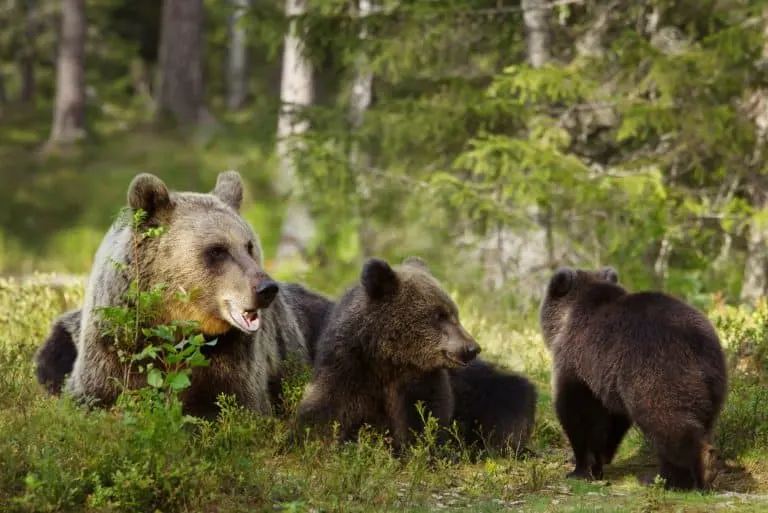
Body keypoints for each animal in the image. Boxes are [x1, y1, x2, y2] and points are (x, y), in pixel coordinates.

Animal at [57, 170, 310, 418]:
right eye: (217, 250)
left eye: (249, 246)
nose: (266, 288)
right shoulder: (113, 346)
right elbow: (96, 396)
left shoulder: (232, 357)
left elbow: (234, 404)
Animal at [540, 266, 728, 490]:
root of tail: (697, 342)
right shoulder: (607, 376)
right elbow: (612, 418)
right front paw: (600, 459)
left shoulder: (576, 360)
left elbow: (576, 410)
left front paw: (579, 470)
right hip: (713, 382)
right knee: (703, 420)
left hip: (657, 369)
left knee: (666, 419)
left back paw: (686, 472)